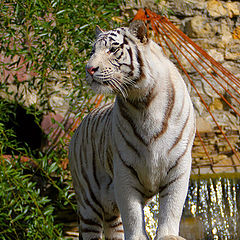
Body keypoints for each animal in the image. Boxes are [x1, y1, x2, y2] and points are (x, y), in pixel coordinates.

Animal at [68, 20, 196, 240]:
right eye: (93, 51)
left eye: (112, 49)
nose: (89, 69)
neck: (142, 101)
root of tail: (78, 128)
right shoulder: (125, 171)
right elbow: (133, 213)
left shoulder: (179, 166)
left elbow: (171, 206)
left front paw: (168, 235)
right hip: (88, 203)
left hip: (110, 212)